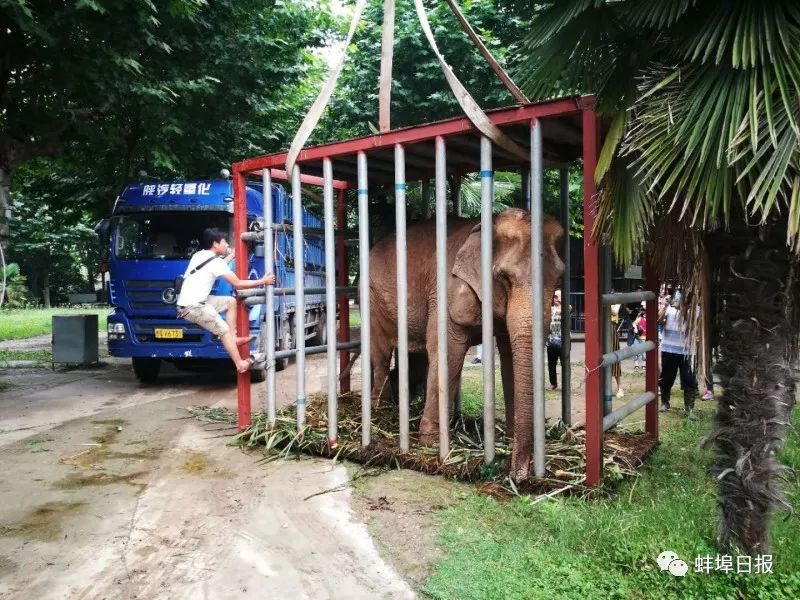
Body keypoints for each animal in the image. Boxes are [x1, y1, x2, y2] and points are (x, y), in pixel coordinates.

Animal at [368, 209, 564, 480]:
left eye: (559, 277)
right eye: (504, 278)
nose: (517, 476)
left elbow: (509, 356)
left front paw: (510, 437)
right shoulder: (445, 292)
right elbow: (447, 353)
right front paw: (432, 443)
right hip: (373, 298)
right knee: (382, 355)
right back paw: (381, 408)